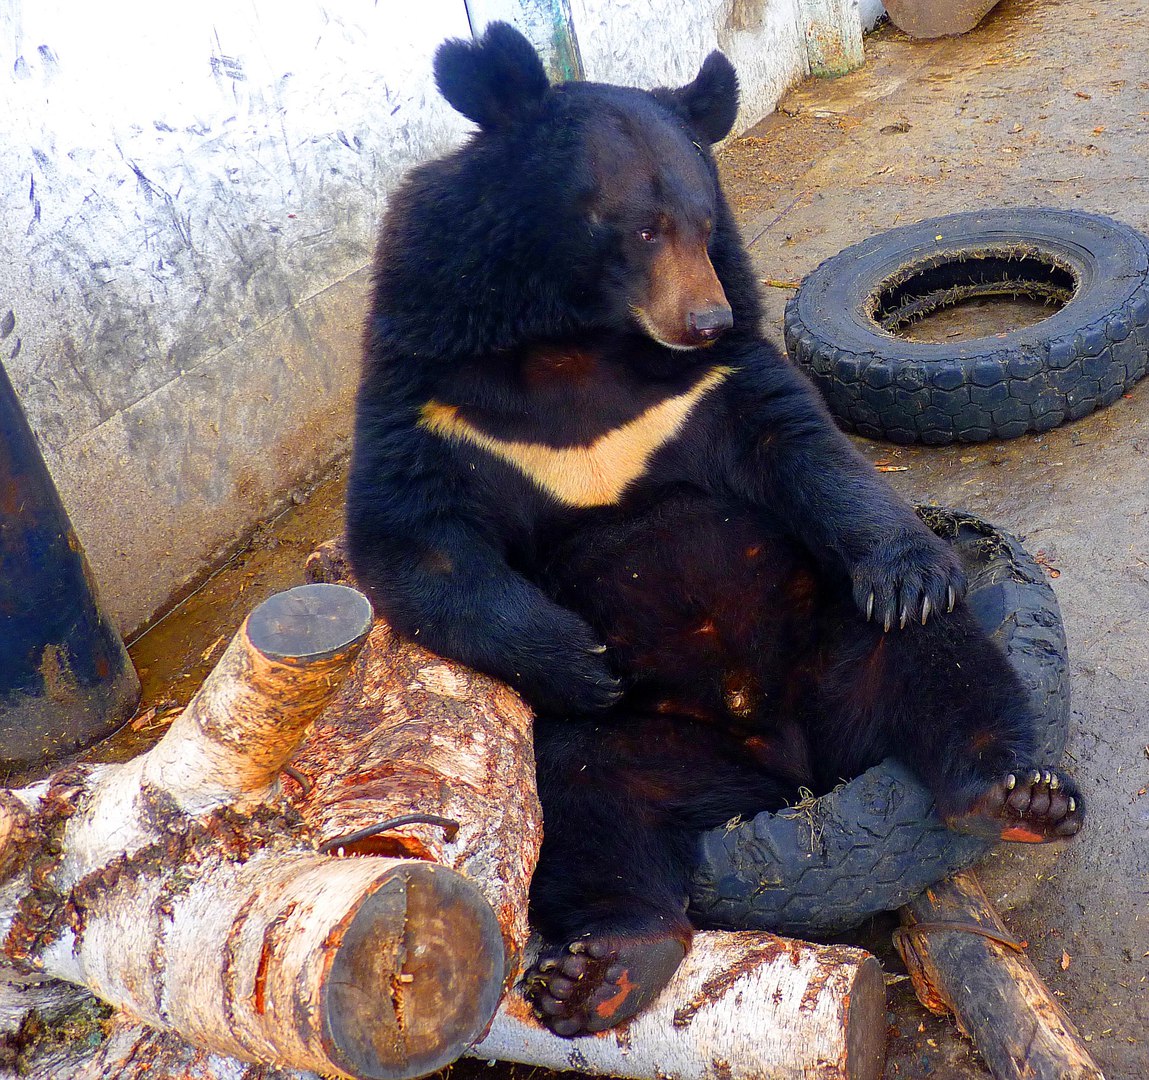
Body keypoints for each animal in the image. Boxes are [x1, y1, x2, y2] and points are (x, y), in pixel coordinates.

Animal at [344, 23, 1080, 1038]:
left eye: (702, 219)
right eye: (637, 225)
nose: (703, 317)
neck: (575, 338)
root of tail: (786, 768)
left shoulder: (708, 386)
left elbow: (802, 445)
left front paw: (910, 569)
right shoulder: (430, 389)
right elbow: (412, 539)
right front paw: (573, 655)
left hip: (834, 640)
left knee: (942, 665)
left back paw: (1017, 793)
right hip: (629, 743)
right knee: (588, 808)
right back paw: (607, 965)